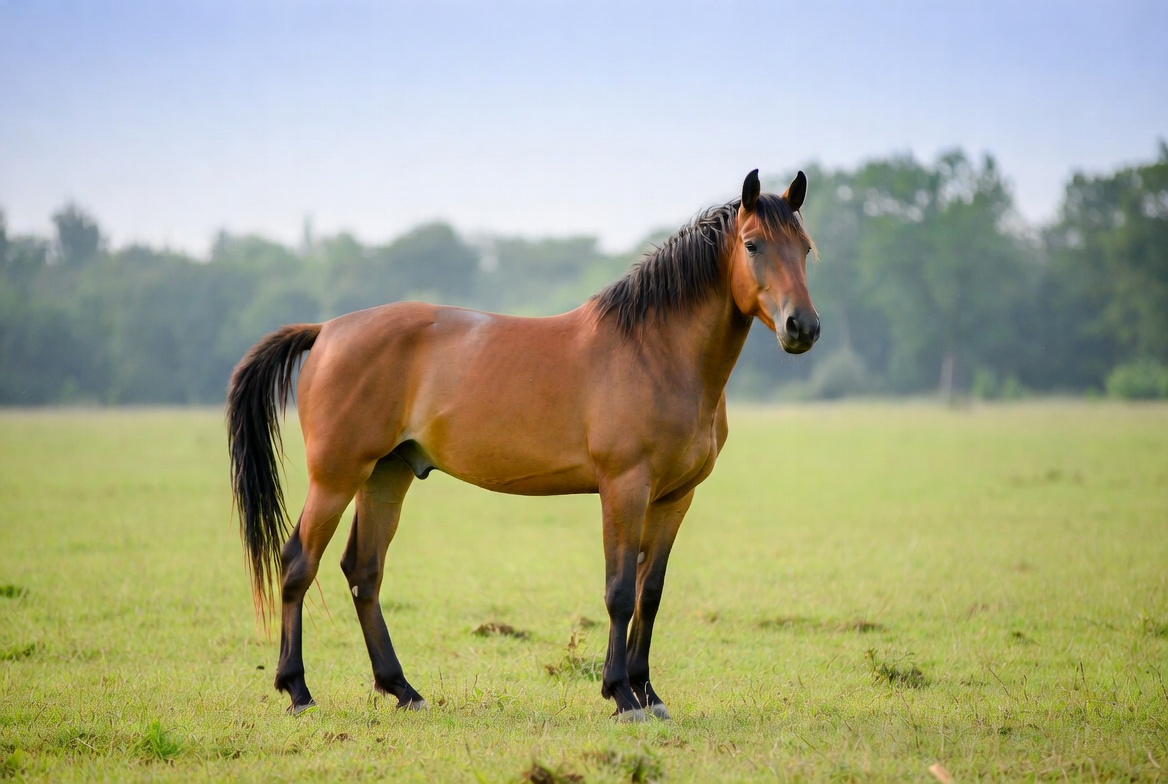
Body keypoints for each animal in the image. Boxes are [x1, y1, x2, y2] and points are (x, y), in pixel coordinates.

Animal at [227, 169, 819, 721]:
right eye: (752, 245)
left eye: (806, 248)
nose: (802, 327)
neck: (655, 351)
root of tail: (326, 331)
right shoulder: (624, 488)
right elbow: (619, 592)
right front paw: (621, 695)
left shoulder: (675, 498)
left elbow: (649, 595)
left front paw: (649, 695)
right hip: (336, 477)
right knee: (298, 564)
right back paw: (298, 691)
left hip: (385, 476)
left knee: (363, 572)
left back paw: (403, 690)